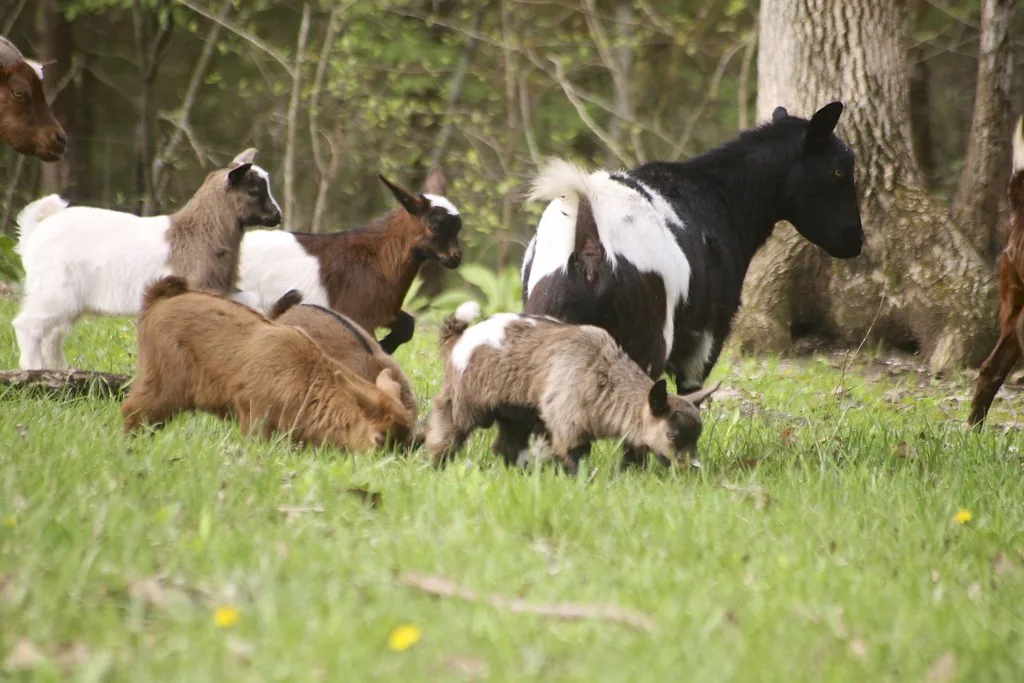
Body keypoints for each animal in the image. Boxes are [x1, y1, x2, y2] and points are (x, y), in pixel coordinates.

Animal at [12, 148, 281, 370]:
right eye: (253, 191)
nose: (277, 216)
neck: (197, 232)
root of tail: (34, 232)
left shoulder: (222, 288)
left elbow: (253, 306)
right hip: (54, 289)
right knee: (28, 325)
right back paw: (34, 369)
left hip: (70, 300)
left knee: (53, 334)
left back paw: (59, 370)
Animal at [239, 167, 462, 354]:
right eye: (434, 226)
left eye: (458, 227)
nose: (456, 258)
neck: (378, 258)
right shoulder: (358, 315)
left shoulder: (383, 310)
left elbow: (407, 326)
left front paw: (386, 346)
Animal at [424, 302, 717, 473]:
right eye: (671, 435)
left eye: (696, 437)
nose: (693, 467)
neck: (605, 375)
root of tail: (458, 338)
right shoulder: (568, 421)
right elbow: (574, 457)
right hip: (464, 401)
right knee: (446, 428)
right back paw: (436, 465)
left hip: (515, 413)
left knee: (507, 445)